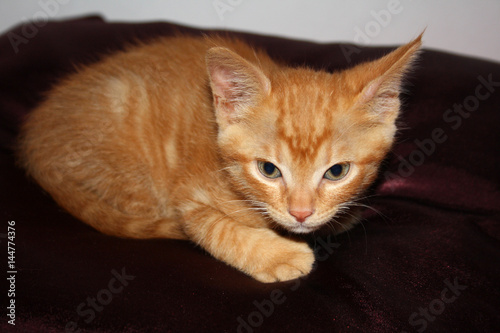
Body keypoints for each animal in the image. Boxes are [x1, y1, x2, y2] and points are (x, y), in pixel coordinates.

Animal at [18, 33, 422, 282]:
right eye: (268, 170)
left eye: (336, 172)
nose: (301, 213)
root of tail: (33, 143)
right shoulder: (188, 197)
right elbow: (218, 229)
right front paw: (279, 256)